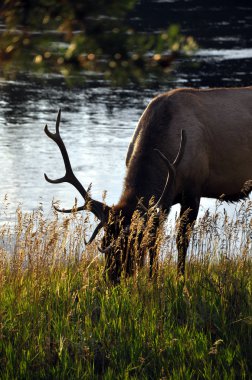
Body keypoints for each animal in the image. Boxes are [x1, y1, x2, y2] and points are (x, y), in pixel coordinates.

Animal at [44, 87, 252, 280]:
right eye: (104, 243)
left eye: (129, 244)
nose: (111, 278)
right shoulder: (164, 200)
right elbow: (155, 241)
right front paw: (153, 278)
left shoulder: (193, 189)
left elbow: (181, 240)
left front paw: (180, 279)